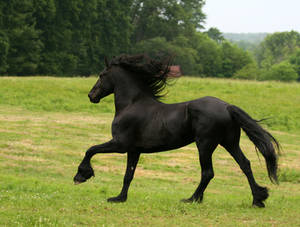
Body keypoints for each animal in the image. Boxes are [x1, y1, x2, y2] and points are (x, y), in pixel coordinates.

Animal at [74, 54, 280, 207]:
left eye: (102, 74)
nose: (91, 95)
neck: (132, 104)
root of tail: (227, 107)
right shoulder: (134, 150)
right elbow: (128, 175)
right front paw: (119, 198)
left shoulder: (120, 144)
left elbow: (91, 149)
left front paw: (81, 175)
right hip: (229, 142)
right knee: (245, 164)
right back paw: (258, 199)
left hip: (205, 145)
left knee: (208, 172)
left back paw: (192, 199)